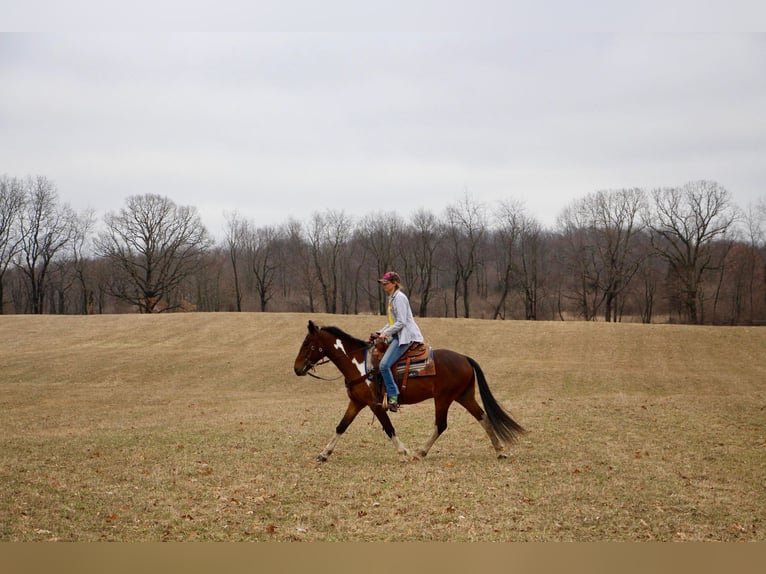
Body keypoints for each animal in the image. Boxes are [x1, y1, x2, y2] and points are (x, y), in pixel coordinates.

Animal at [292, 320, 524, 464]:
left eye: (307, 343)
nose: (297, 368)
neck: (359, 364)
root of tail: (464, 358)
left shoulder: (374, 405)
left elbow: (388, 428)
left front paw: (403, 452)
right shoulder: (356, 402)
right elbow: (341, 426)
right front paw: (323, 454)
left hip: (443, 398)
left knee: (441, 425)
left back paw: (420, 452)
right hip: (463, 396)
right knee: (483, 417)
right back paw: (499, 451)